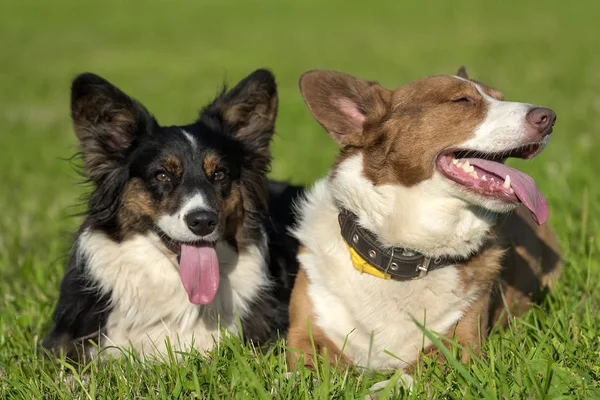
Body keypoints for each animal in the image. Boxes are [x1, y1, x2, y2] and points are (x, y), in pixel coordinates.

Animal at [286, 67, 564, 392]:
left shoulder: (461, 342)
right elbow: (303, 373)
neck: (403, 252)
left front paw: (379, 390)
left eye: (500, 97)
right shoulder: (305, 333)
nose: (549, 117)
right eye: (462, 100)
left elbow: (406, 377)